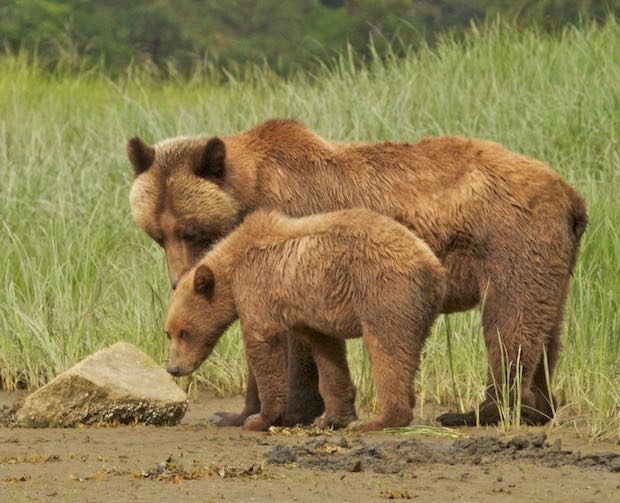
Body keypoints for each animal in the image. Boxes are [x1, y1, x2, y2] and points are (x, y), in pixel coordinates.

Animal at [127, 119, 588, 430]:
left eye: (191, 230)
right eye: (156, 234)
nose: (178, 280)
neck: (251, 193)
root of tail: (570, 194)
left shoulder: (292, 234)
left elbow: (290, 340)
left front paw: (288, 411)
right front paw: (234, 413)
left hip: (510, 241)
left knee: (508, 324)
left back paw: (476, 413)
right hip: (555, 262)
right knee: (549, 327)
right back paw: (538, 407)